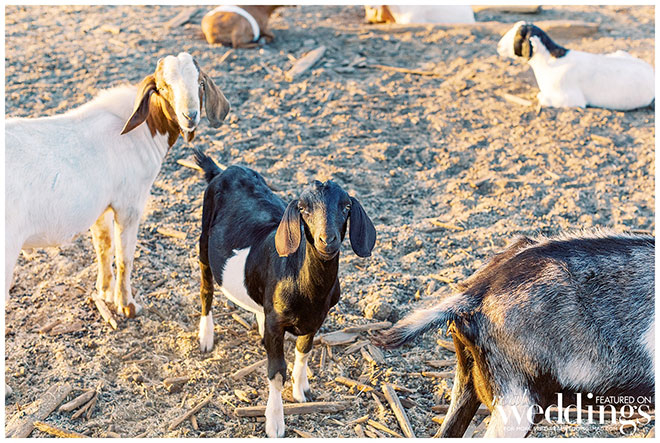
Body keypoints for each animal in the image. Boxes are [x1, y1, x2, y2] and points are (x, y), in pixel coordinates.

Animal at [5, 52, 230, 318]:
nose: (190, 116)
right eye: (164, 87)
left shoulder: (102, 206)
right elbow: (125, 256)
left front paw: (104, 291)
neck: (142, 130)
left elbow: (103, 246)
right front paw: (127, 305)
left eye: (200, 83)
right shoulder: (129, 205)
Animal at [192, 148, 376, 437]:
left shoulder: (316, 319)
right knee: (206, 288)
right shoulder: (277, 323)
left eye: (346, 207)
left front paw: (301, 392)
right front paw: (275, 423)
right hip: (203, 240)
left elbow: (304, 351)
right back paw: (206, 337)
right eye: (303, 209)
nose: (327, 240)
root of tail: (223, 170)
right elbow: (277, 370)